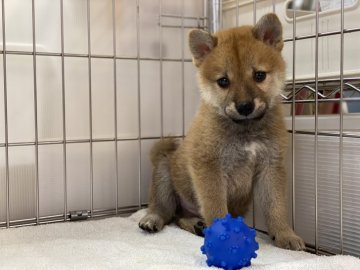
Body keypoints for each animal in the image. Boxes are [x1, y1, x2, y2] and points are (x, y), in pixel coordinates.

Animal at [139, 13, 306, 251]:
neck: (245, 129)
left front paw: (284, 234)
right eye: (223, 81)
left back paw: (197, 225)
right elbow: (216, 209)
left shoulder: (271, 167)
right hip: (163, 170)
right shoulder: (209, 168)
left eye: (259, 75)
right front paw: (224, 240)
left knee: (179, 218)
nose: (245, 106)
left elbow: (276, 207)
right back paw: (153, 219)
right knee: (164, 209)